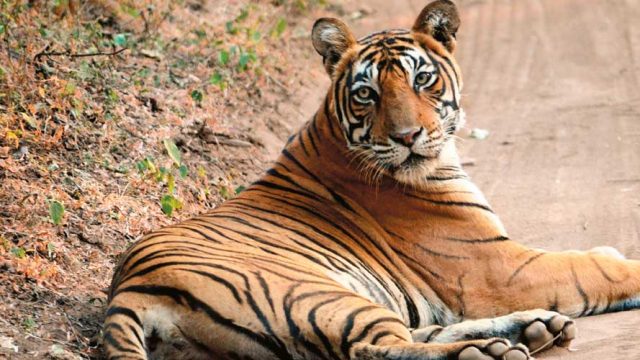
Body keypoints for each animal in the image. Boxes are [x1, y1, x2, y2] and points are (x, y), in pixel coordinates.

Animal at [102, 1, 640, 358]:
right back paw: (490, 349)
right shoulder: (497, 266)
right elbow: (595, 269)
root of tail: (128, 288)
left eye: (422, 79)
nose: (407, 136)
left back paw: (533, 329)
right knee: (379, 350)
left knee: (409, 336)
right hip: (321, 295)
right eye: (367, 93)